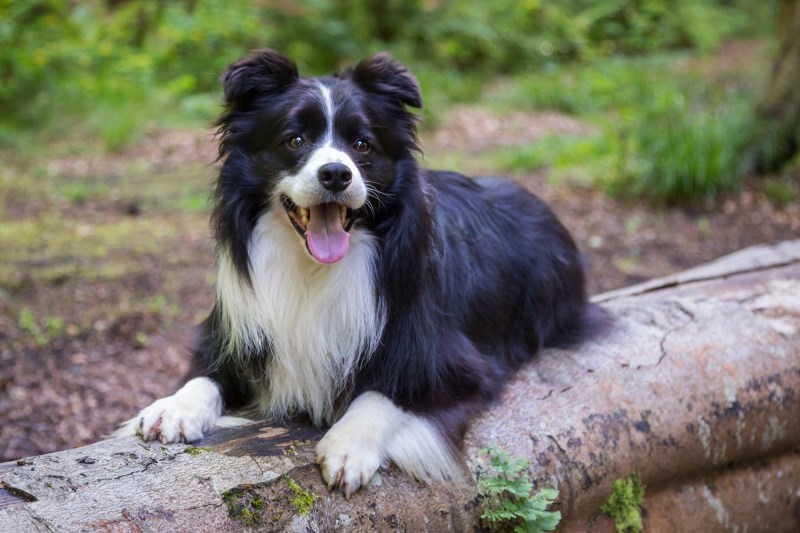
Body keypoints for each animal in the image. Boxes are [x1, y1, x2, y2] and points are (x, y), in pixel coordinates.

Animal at [115, 48, 596, 494]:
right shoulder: (237, 330)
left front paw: (347, 445)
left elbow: (385, 391)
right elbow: (205, 373)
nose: (335, 174)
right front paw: (173, 407)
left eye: (363, 145)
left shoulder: (455, 361)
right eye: (295, 140)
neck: (313, 268)